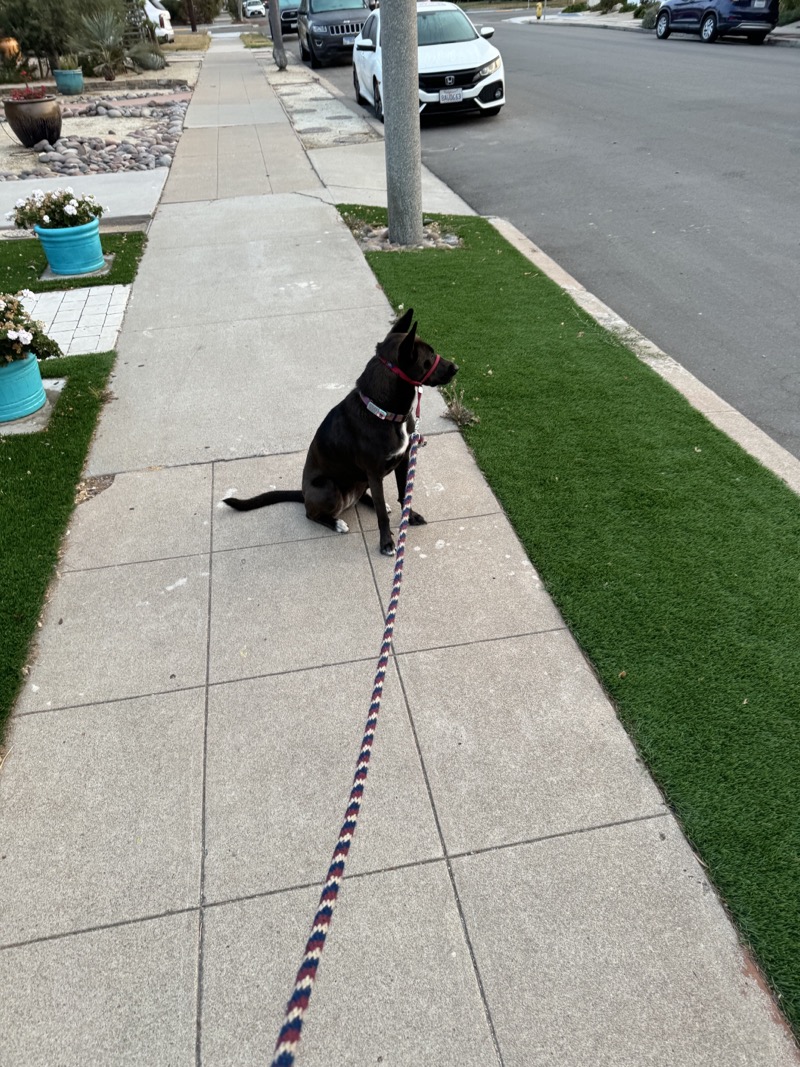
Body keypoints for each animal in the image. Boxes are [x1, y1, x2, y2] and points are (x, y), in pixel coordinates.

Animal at [222, 309, 460, 554]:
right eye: (429, 358)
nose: (456, 368)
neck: (384, 412)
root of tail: (303, 493)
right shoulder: (374, 473)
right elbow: (382, 516)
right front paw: (386, 542)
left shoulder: (403, 461)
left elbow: (404, 494)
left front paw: (409, 517)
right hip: (329, 487)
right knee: (311, 514)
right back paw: (336, 522)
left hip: (361, 480)